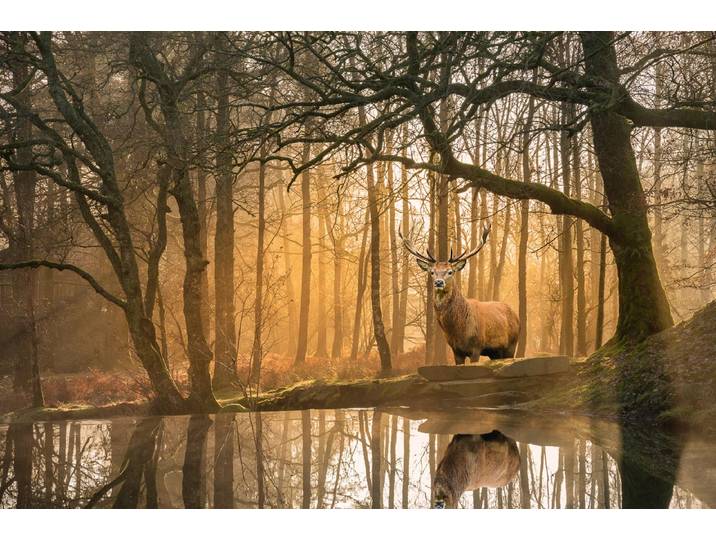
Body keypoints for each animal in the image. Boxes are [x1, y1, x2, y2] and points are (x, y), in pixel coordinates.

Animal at [399, 222, 520, 365]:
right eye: (432, 272)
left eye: (450, 272)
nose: (438, 282)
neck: (458, 330)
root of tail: (516, 316)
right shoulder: (456, 350)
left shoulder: (476, 347)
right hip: (495, 352)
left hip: (512, 344)